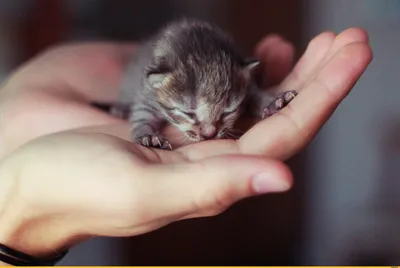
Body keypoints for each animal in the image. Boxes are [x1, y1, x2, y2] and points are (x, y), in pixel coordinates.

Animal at [112, 17, 296, 150]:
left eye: (228, 111)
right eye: (188, 113)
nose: (210, 135)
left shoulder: (247, 86)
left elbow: (256, 94)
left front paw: (273, 102)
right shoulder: (147, 94)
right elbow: (141, 115)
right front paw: (147, 136)